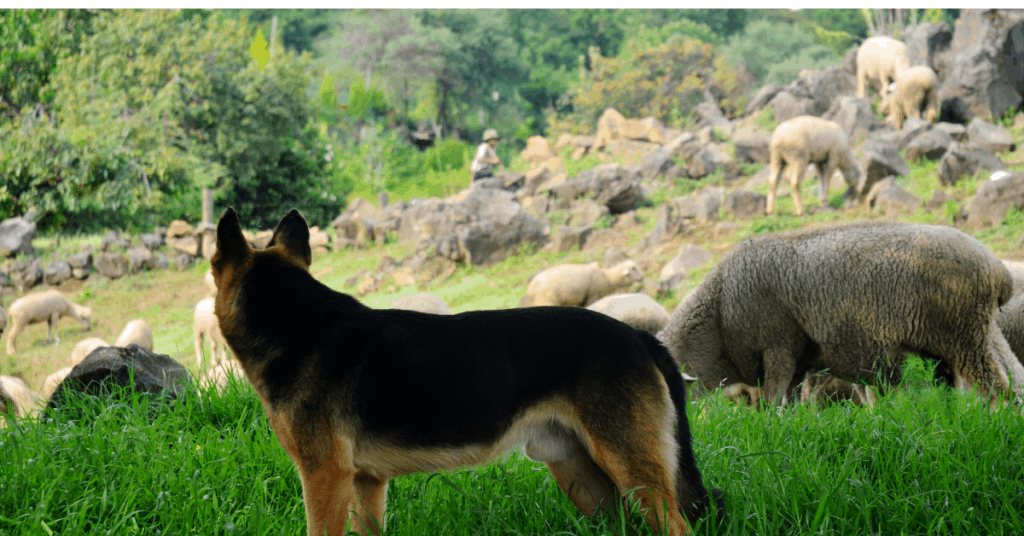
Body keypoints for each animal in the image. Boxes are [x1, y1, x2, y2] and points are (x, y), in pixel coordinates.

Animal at [208, 209, 720, 536]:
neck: (297, 326)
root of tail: (638, 337)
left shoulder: (323, 478)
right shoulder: (365, 484)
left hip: (630, 470)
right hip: (584, 481)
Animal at [655, 219, 1024, 407]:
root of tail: (997, 270)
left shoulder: (777, 346)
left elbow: (774, 398)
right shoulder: (799, 360)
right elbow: (791, 398)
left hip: (965, 336)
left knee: (997, 387)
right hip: (946, 345)